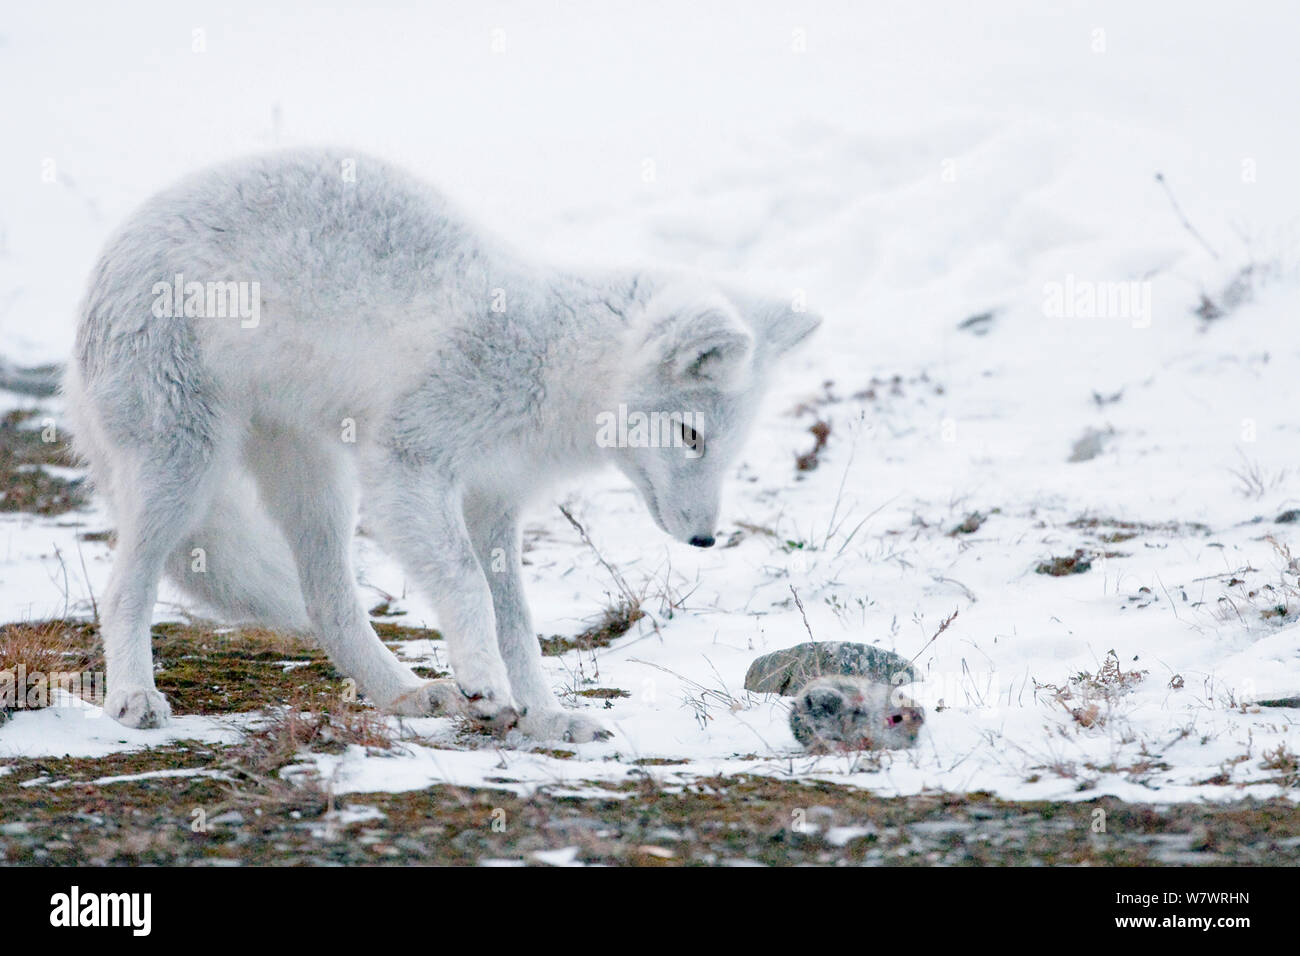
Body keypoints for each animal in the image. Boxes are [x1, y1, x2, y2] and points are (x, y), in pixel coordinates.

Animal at [65, 151, 816, 749]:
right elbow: (467, 586)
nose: (705, 540)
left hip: (319, 486)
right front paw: (487, 685)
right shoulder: (409, 466)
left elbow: (517, 624)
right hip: (185, 467)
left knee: (326, 603)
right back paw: (133, 698)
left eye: (727, 449)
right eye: (691, 436)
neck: (549, 362)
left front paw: (543, 717)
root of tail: (112, 248)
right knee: (123, 584)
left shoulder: (493, 505)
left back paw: (405, 694)